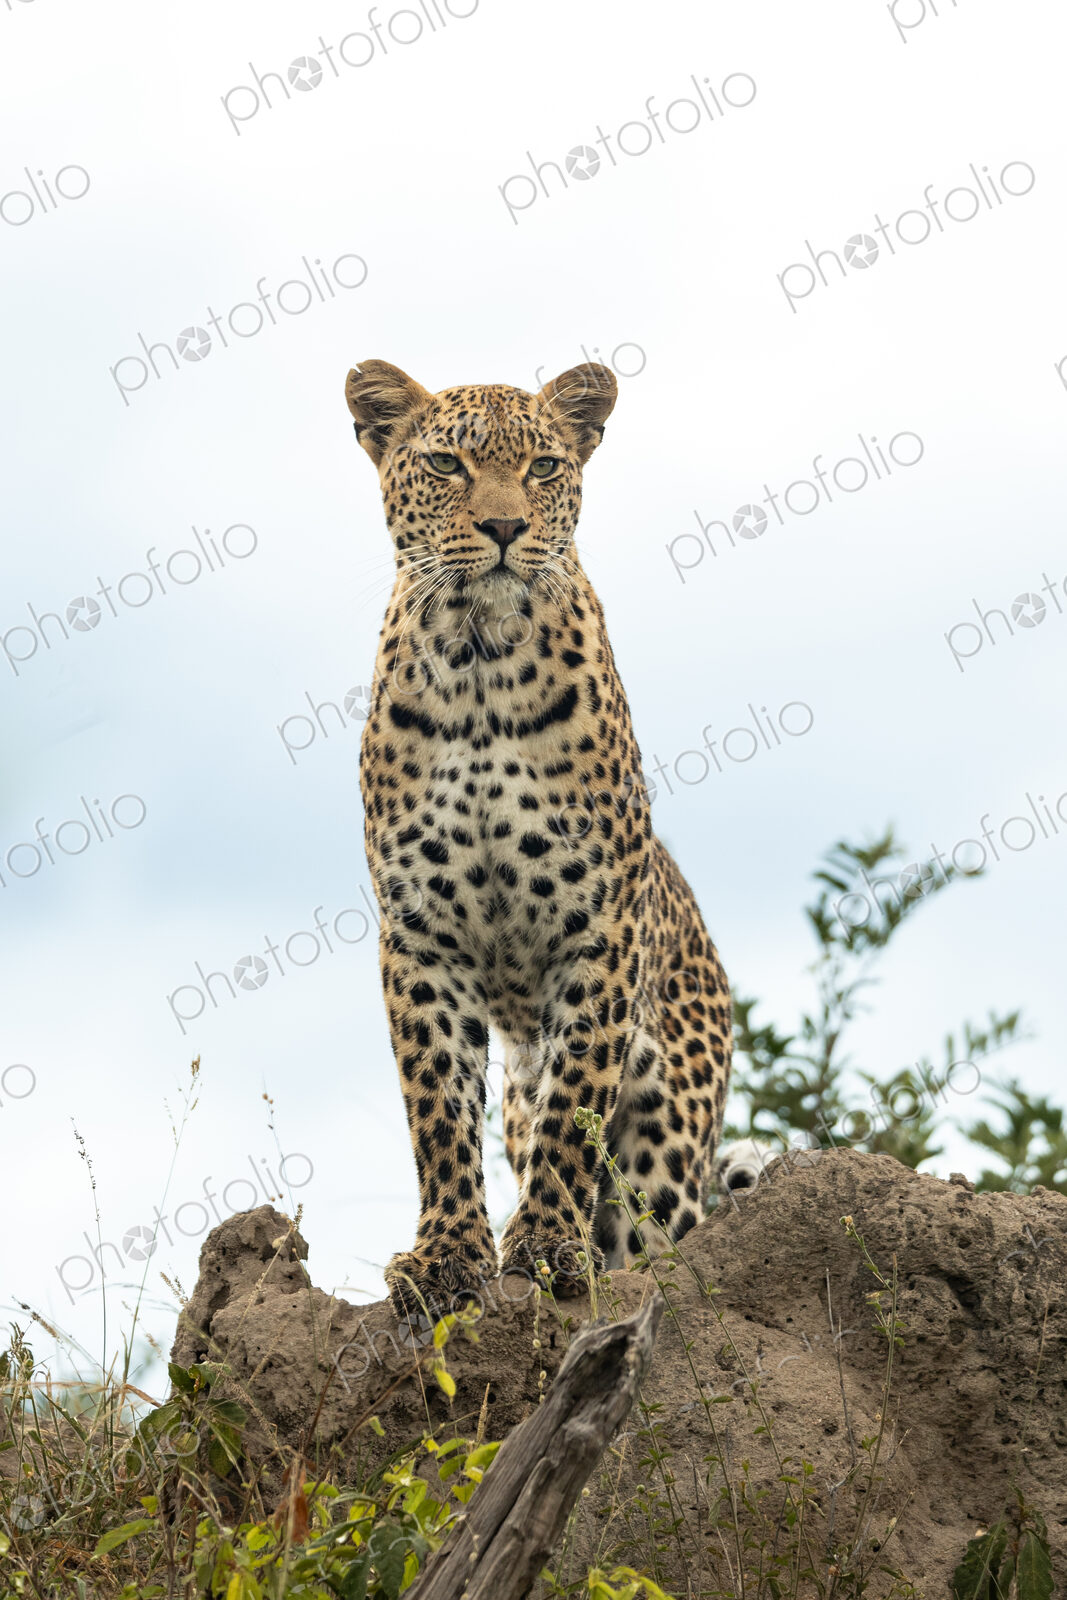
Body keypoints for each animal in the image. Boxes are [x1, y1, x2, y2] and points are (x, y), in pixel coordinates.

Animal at [344, 357, 733, 1319]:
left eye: (545, 467)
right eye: (446, 464)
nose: (503, 527)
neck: (479, 662)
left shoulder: (598, 928)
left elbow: (574, 1108)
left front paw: (548, 1249)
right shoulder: (420, 935)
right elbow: (438, 1104)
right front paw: (445, 1257)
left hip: (670, 1137)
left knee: (645, 1220)